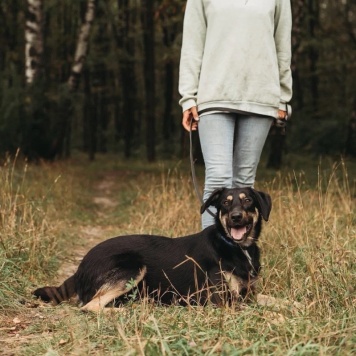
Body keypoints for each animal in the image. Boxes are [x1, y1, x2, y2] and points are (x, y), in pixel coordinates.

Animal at [34, 186, 272, 312]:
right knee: (90, 307)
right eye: (225, 203)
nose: (236, 217)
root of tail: (80, 267)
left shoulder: (249, 293)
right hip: (133, 266)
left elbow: (273, 300)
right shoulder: (220, 300)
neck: (237, 247)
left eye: (247, 200)